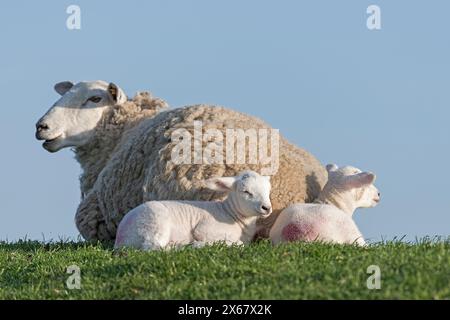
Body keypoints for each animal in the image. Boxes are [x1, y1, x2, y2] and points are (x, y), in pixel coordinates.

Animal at [114, 171, 272, 251]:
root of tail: (120, 237)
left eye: (268, 190)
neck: (231, 214)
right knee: (152, 247)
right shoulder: (205, 229)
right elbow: (237, 243)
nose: (267, 208)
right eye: (246, 191)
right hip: (154, 222)